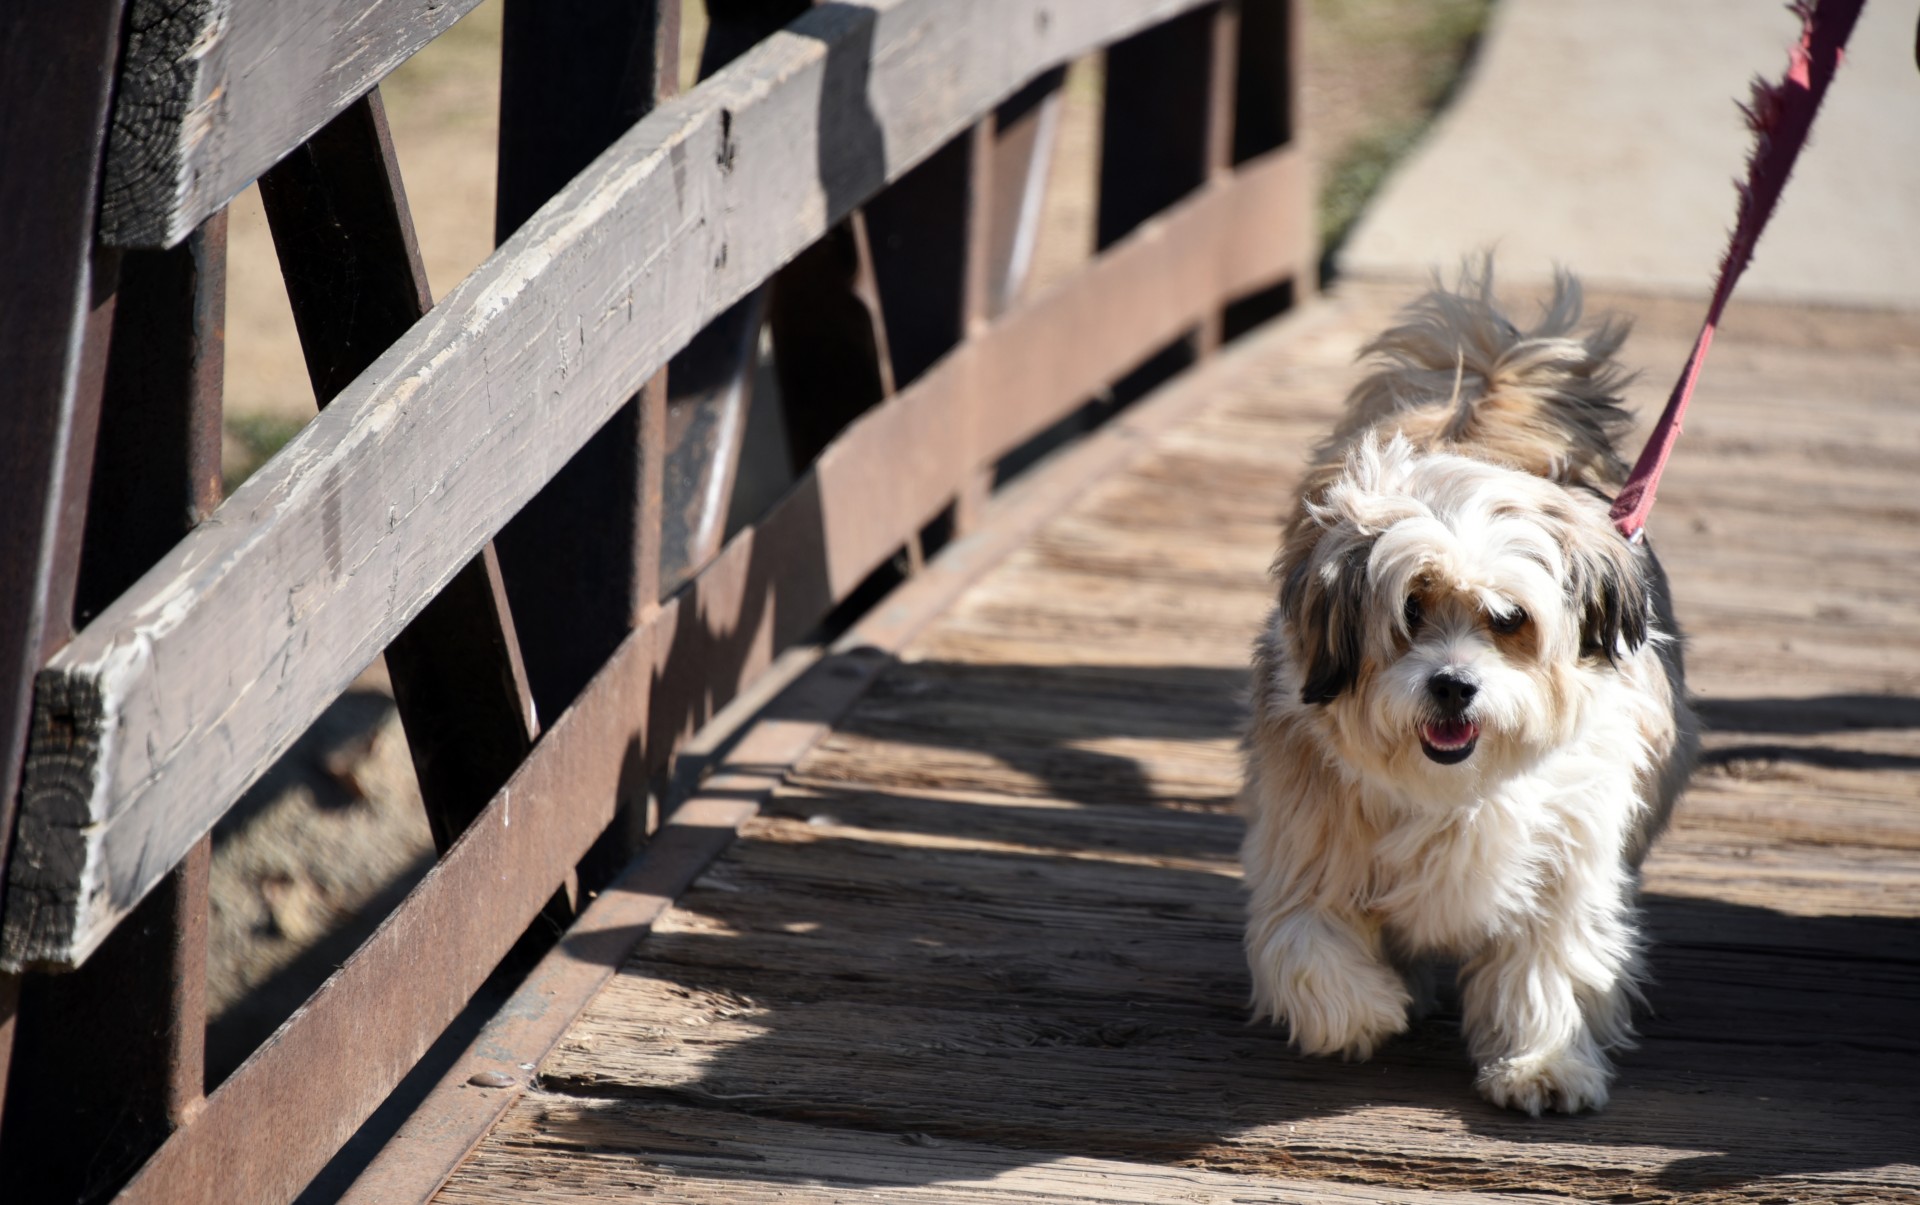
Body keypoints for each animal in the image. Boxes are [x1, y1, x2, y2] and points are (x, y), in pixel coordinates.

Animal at [1236, 268, 1704, 1112]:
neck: (1454, 789)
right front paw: (1369, 1008)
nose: (1453, 685)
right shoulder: (1305, 842)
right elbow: (1307, 942)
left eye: (1507, 618)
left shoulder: (1565, 867)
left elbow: (1547, 966)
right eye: (1411, 610)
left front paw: (1541, 1063)